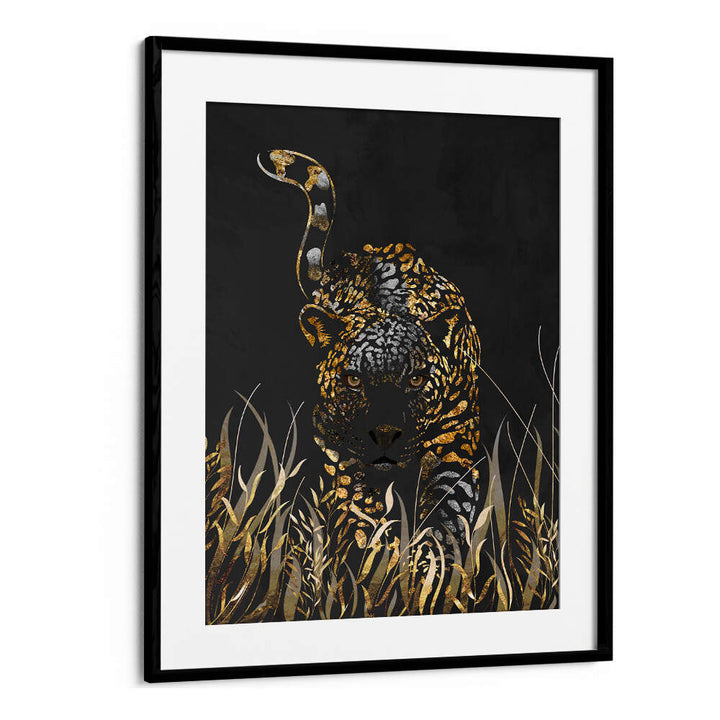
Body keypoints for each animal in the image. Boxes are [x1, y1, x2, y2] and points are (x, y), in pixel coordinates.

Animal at [258, 149, 483, 551]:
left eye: (416, 380)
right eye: (352, 380)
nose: (385, 434)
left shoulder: (456, 438)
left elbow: (448, 506)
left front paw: (433, 555)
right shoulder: (344, 451)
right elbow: (358, 507)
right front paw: (373, 552)